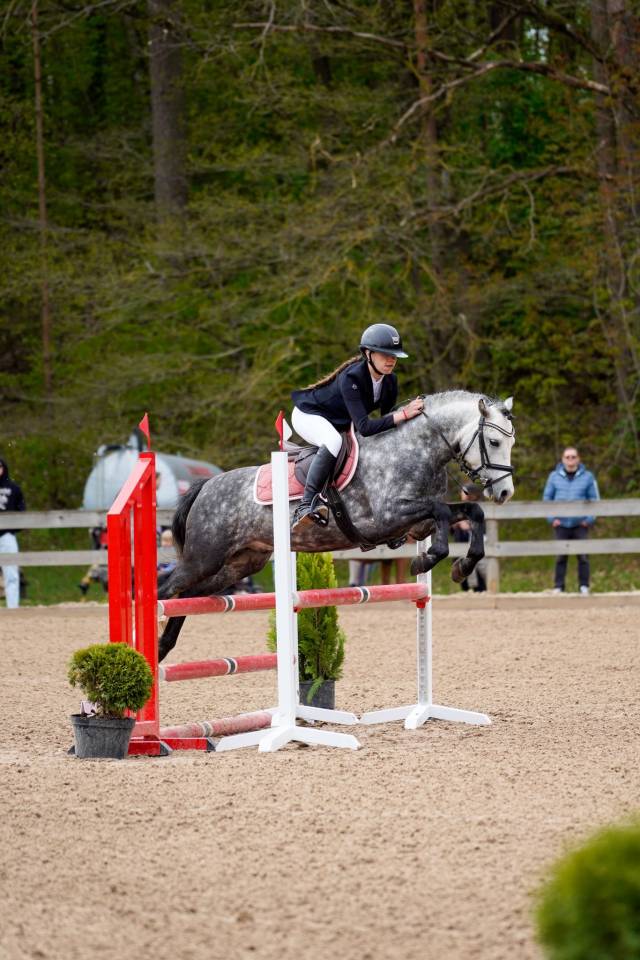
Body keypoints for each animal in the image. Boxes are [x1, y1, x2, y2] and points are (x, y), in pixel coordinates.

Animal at [157, 391, 516, 660]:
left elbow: (470, 512)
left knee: (188, 596)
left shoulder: (416, 524)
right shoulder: (385, 517)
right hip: (204, 557)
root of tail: (206, 485)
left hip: (240, 563)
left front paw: (461, 566)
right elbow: (441, 512)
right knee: (167, 589)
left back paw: (162, 648)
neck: (414, 450)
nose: (504, 493)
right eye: (494, 442)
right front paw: (427, 560)